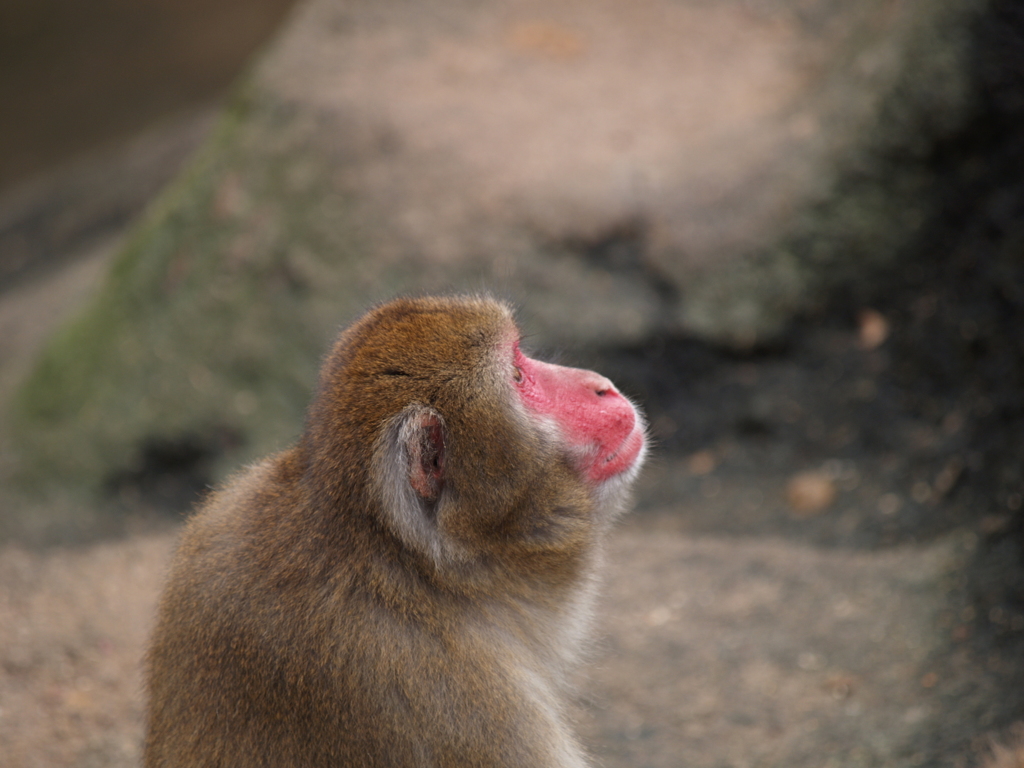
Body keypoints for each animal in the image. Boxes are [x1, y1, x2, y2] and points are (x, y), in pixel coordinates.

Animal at [142, 296, 647, 768]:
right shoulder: (463, 710)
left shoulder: (216, 536)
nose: (602, 386)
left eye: (520, 355)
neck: (407, 565)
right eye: (519, 377)